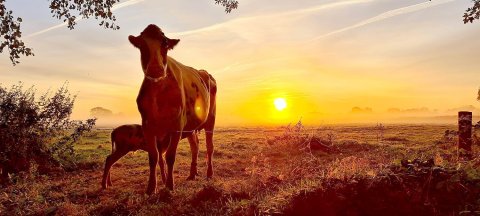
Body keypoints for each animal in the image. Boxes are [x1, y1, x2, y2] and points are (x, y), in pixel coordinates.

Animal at [128, 24, 217, 193]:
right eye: (142, 45)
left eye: (165, 44)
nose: (155, 69)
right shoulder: (147, 126)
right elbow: (154, 157)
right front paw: (151, 188)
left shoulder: (176, 126)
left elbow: (170, 156)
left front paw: (169, 185)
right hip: (190, 126)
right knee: (195, 146)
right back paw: (192, 174)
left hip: (210, 119)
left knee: (209, 147)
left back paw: (209, 174)